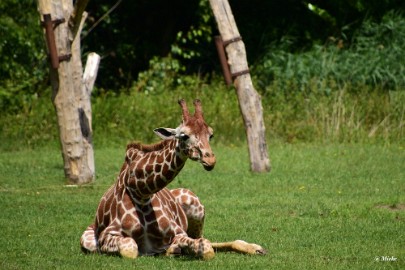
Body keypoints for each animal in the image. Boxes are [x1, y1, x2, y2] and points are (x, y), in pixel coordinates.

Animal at [80, 99, 266, 260]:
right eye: (184, 135)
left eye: (211, 135)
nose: (210, 160)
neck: (141, 192)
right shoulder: (107, 235)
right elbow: (131, 248)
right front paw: (171, 250)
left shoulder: (179, 232)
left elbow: (206, 247)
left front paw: (174, 249)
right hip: (87, 238)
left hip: (196, 206)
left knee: (205, 238)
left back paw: (256, 248)